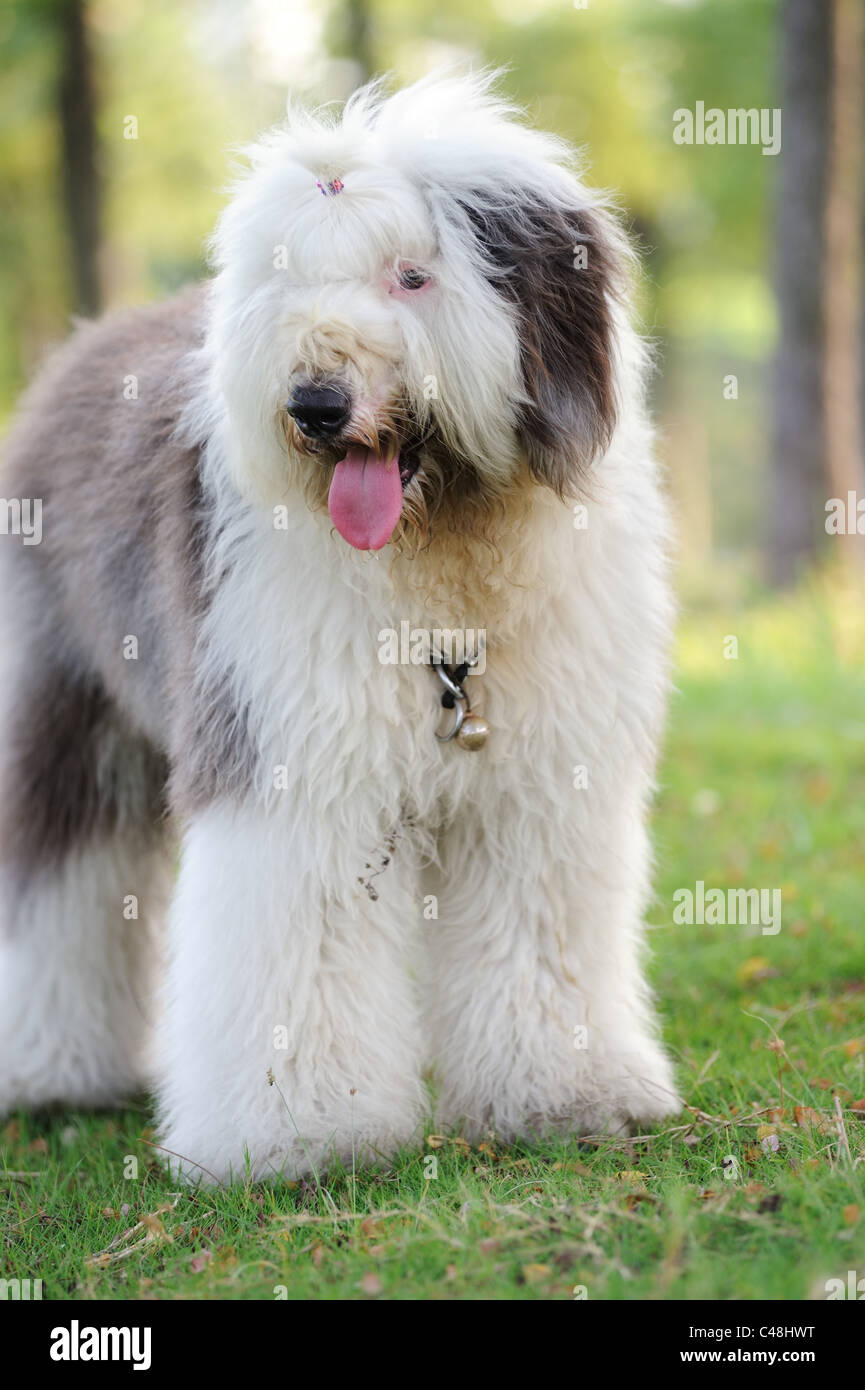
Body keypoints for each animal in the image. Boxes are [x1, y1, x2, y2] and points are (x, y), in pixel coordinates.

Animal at [0, 70, 684, 1178]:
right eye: (288, 282)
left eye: (411, 276)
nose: (315, 402)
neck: (441, 569)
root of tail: (83, 341)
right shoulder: (293, 765)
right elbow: (297, 941)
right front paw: (297, 1133)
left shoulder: (540, 787)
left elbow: (540, 932)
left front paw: (564, 1095)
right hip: (62, 701)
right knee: (57, 874)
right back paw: (50, 1071)